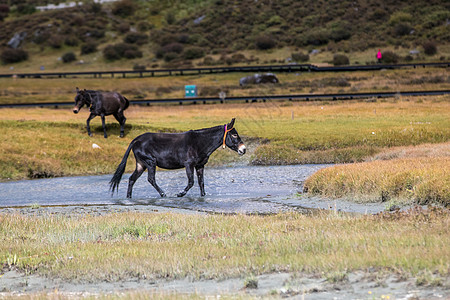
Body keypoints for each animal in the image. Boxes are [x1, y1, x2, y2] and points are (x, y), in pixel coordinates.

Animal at [111, 118, 248, 198]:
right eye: (234, 135)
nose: (244, 149)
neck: (200, 142)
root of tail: (136, 139)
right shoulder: (189, 164)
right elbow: (191, 182)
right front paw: (180, 194)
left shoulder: (200, 165)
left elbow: (201, 182)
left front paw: (203, 196)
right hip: (150, 162)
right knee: (150, 179)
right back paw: (163, 194)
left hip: (141, 163)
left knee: (132, 179)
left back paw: (129, 197)